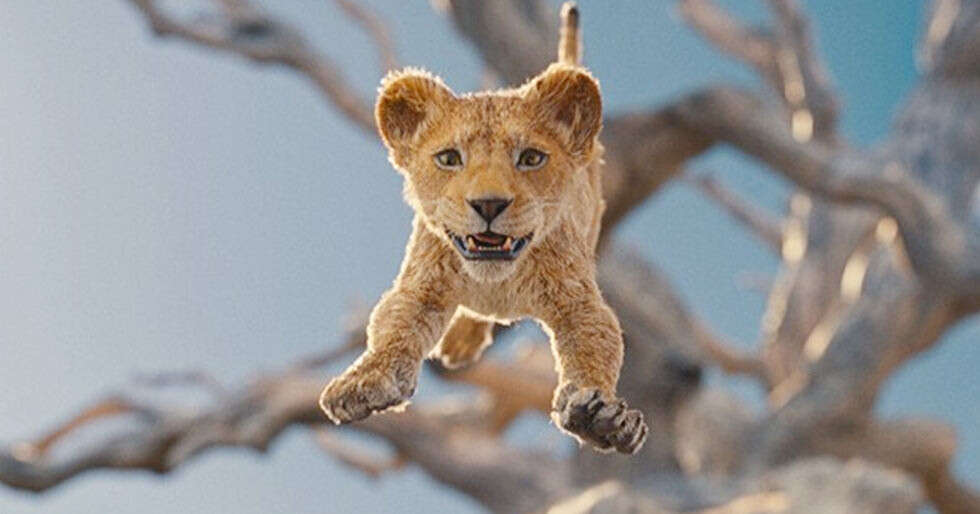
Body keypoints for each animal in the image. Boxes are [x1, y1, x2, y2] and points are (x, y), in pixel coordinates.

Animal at [319, 3, 648, 454]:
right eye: (448, 158)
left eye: (531, 158)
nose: (489, 204)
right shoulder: (420, 286)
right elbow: (392, 328)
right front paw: (363, 381)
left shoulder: (578, 301)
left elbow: (596, 347)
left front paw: (602, 418)